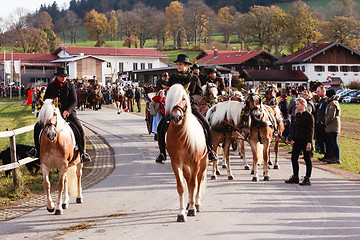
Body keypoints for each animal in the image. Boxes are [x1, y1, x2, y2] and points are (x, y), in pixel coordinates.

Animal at [164, 83, 207, 222]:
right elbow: (181, 187)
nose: (176, 117)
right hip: (185, 165)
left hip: (203, 162)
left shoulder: (195, 162)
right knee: (188, 180)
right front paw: (181, 212)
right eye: (169, 99)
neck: (181, 134)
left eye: (184, 98)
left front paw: (192, 209)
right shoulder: (176, 163)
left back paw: (196, 203)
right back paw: (189, 202)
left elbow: (193, 184)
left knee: (199, 179)